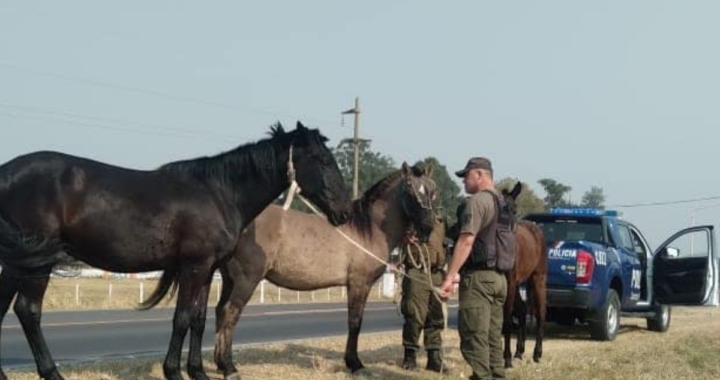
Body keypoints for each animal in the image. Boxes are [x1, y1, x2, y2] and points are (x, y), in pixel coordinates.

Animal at [0, 121, 352, 380]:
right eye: (322, 160)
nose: (344, 211)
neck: (220, 192)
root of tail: (6, 174)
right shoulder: (193, 266)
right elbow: (181, 318)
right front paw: (174, 371)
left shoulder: (208, 269)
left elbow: (198, 318)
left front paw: (198, 371)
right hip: (34, 263)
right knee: (29, 311)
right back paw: (52, 372)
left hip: (17, 262)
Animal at [211, 163, 438, 380]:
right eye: (410, 189)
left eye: (433, 191)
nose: (428, 227)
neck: (368, 229)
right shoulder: (359, 283)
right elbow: (355, 322)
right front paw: (355, 364)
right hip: (246, 280)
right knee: (230, 313)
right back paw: (230, 368)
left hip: (230, 280)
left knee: (220, 311)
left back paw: (220, 364)